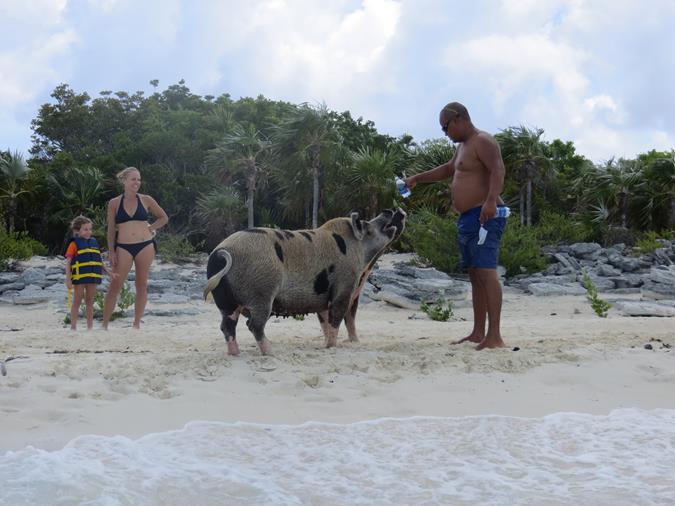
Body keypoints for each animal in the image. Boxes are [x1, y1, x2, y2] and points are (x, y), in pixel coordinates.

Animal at [203, 210, 406, 356]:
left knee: (227, 325)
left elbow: (326, 321)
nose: (390, 210)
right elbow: (336, 318)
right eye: (366, 225)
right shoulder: (344, 287)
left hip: (226, 301)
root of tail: (221, 252)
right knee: (254, 325)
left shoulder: (322, 298)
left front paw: (329, 344)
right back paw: (271, 352)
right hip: (261, 293)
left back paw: (235, 354)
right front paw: (332, 346)